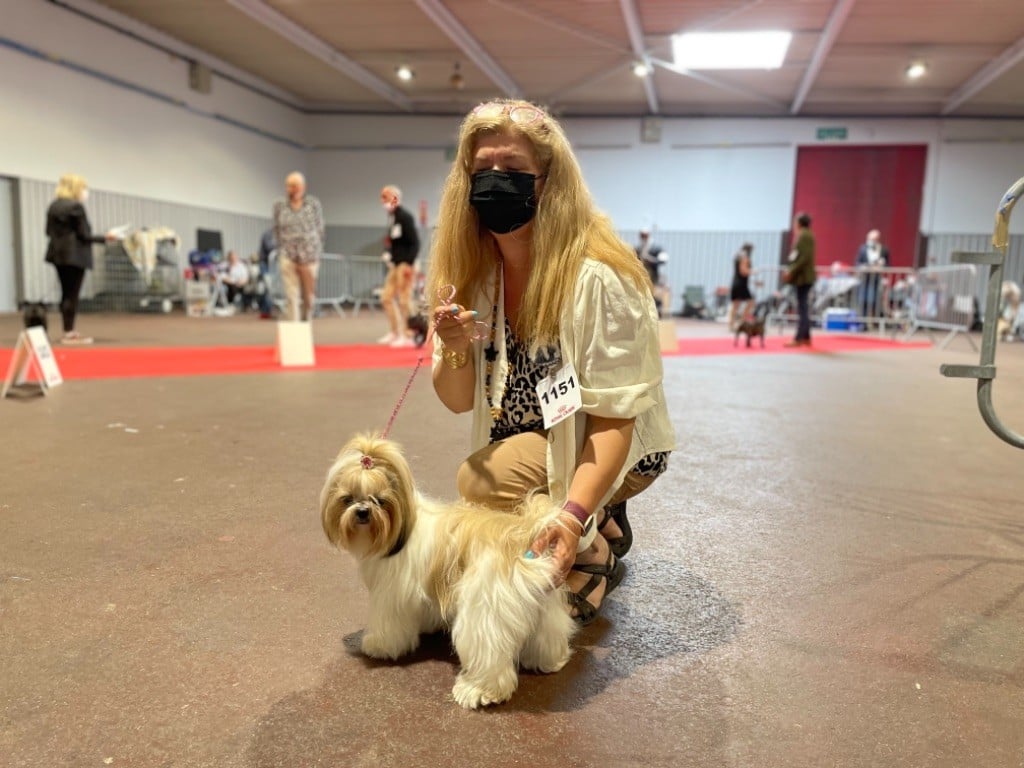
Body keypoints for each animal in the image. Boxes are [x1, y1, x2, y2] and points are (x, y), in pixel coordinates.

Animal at [319, 433, 576, 709]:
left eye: (380, 500)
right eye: (347, 498)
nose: (362, 512)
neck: (400, 528)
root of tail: (524, 533)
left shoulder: (391, 594)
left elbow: (389, 624)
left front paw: (379, 645)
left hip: (484, 611)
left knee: (489, 656)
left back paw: (477, 691)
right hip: (544, 605)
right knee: (549, 635)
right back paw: (550, 661)